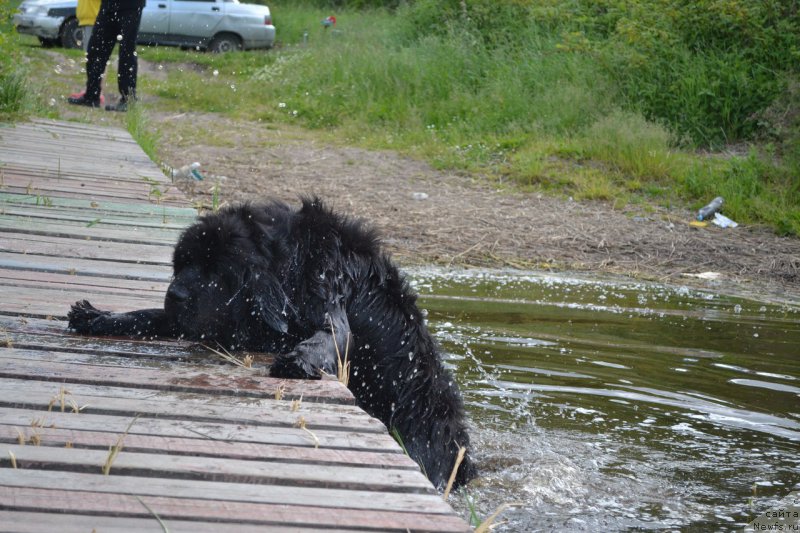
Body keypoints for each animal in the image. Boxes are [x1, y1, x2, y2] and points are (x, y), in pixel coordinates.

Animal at [69, 197, 476, 488]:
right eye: (183, 263)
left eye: (217, 271)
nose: (176, 293)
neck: (291, 264)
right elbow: (149, 316)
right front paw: (98, 316)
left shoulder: (328, 290)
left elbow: (331, 336)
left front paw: (296, 360)